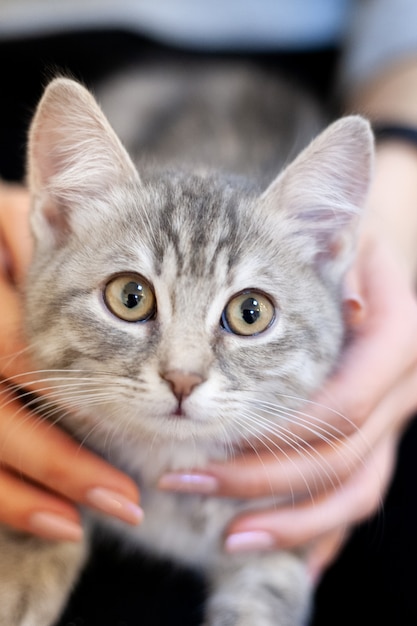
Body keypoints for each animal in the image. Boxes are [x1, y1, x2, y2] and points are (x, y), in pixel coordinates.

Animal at [0, 64, 370, 624]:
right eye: (130, 297)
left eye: (250, 312)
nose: (183, 378)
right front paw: (24, 565)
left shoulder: (278, 527)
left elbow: (267, 593)